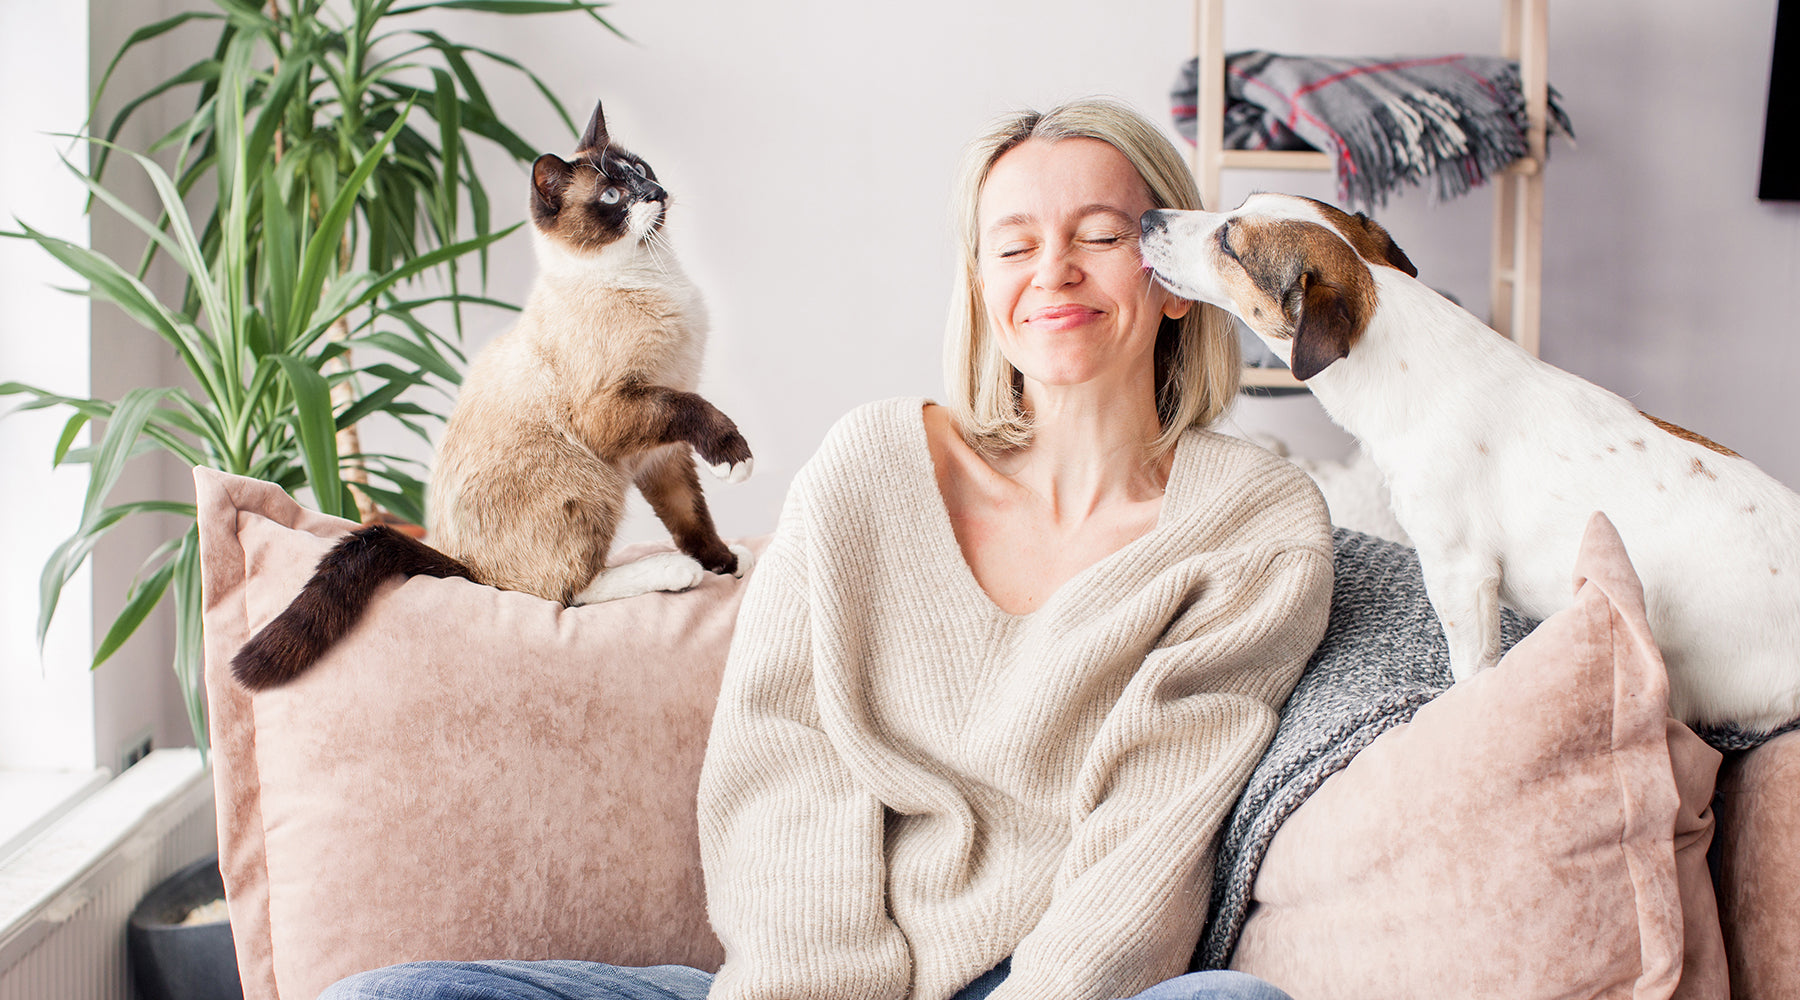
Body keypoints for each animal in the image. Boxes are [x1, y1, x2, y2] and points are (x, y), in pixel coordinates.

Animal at [234, 99, 752, 694]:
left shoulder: (659, 452)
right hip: (588, 478)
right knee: (562, 593)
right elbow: (699, 415)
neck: (652, 275)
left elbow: (691, 517)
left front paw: (725, 563)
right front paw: (735, 462)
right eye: (611, 197)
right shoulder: (622, 410)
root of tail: (465, 568)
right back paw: (672, 574)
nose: (656, 192)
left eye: (640, 170)